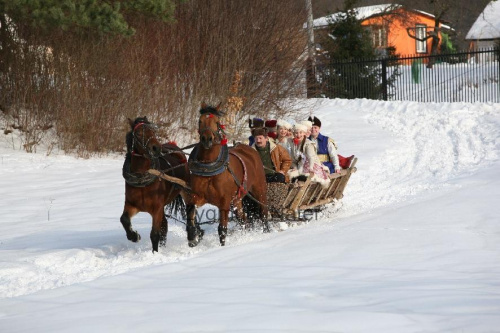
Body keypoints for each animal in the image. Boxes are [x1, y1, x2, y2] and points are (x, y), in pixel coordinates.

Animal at [121, 116, 197, 252]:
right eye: (138, 133)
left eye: (153, 131)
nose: (156, 148)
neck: (142, 180)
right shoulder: (131, 205)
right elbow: (124, 219)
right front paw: (134, 236)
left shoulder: (157, 208)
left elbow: (155, 234)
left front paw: (154, 253)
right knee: (165, 225)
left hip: (186, 190)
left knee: (190, 211)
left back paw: (192, 238)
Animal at [185, 105, 270, 245]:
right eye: (200, 121)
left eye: (217, 122)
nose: (207, 139)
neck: (209, 167)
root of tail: (249, 149)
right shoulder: (197, 196)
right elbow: (191, 211)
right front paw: (193, 236)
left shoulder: (224, 203)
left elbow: (222, 229)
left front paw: (222, 246)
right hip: (237, 200)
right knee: (244, 220)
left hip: (259, 190)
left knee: (264, 212)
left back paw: (267, 231)